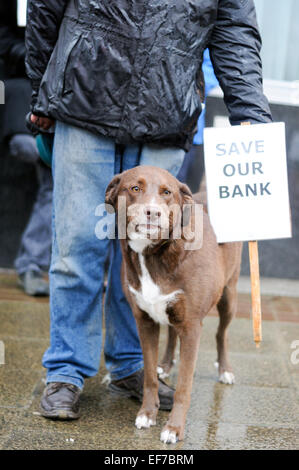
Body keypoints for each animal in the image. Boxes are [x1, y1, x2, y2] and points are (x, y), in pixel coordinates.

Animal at [106, 166, 244, 444]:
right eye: (134, 188)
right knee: (171, 333)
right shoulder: (145, 321)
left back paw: (224, 370)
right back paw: (166, 364)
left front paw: (174, 428)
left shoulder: (191, 326)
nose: (153, 212)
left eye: (167, 192)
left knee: (221, 333)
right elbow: (148, 376)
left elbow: (184, 387)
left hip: (229, 295)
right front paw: (147, 413)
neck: (154, 254)